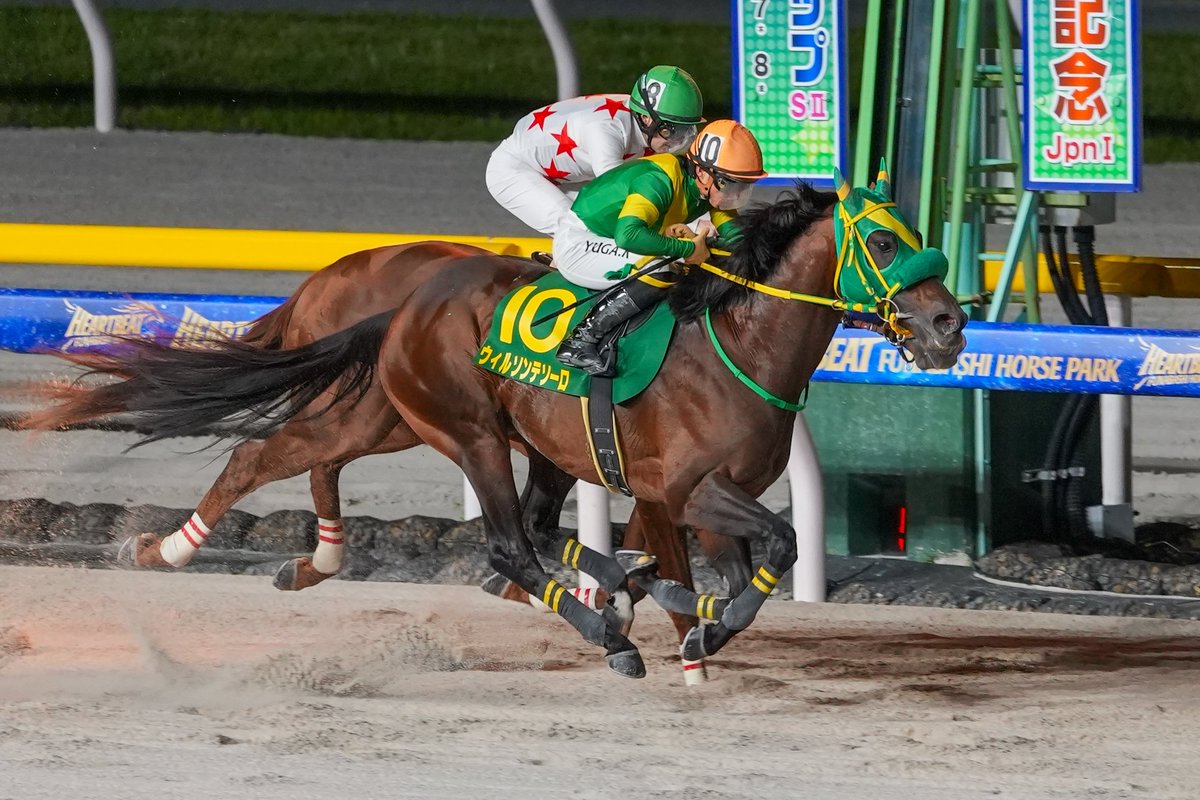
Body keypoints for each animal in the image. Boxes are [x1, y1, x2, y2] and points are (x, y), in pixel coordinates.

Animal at [25, 173, 967, 678]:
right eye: (884, 244)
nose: (949, 326)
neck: (738, 345)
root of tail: (402, 302)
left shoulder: (695, 497)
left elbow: (736, 574)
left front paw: (690, 620)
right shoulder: (689, 487)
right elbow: (775, 544)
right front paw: (680, 627)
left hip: (448, 429)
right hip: (461, 431)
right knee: (500, 540)